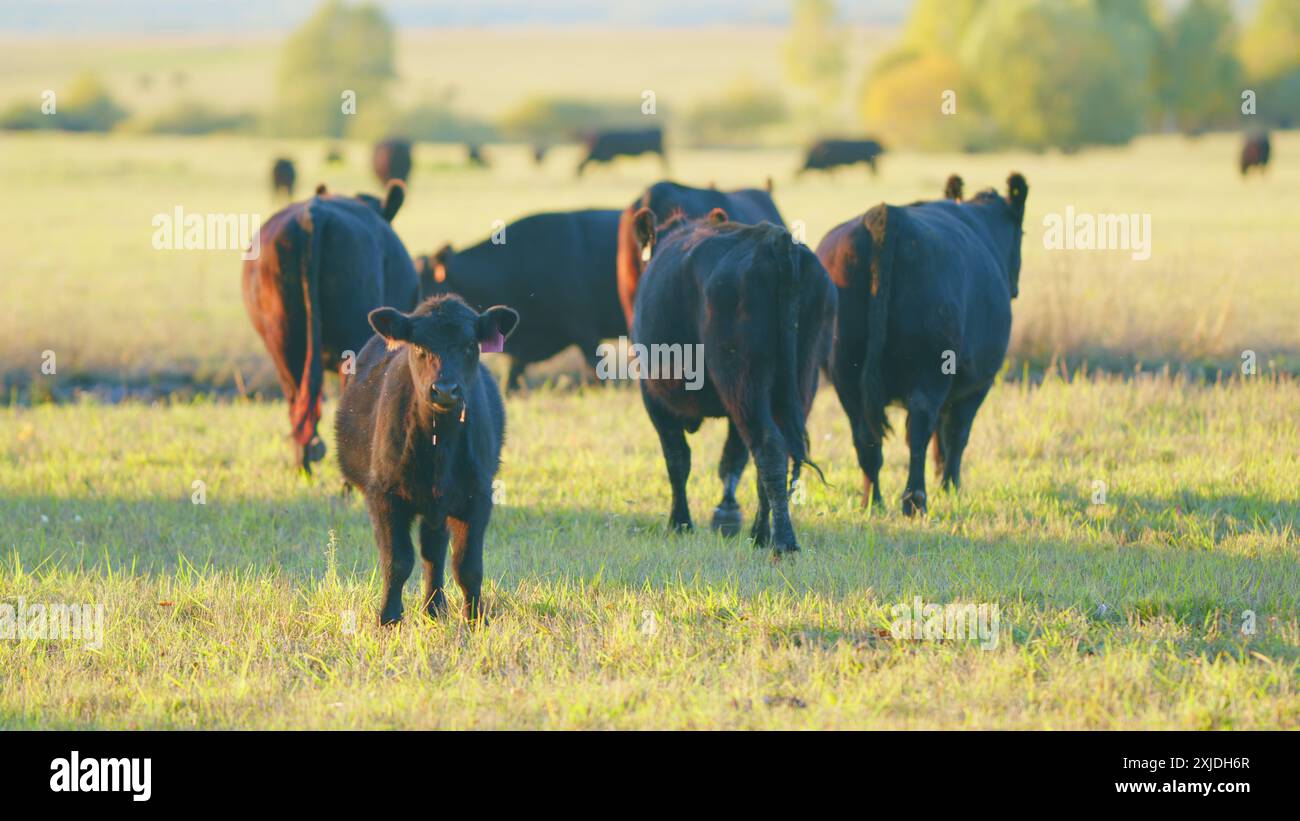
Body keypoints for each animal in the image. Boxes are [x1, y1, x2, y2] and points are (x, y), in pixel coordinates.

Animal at [336, 295, 519, 625]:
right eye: (419, 347)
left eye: (470, 345)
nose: (445, 390)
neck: (439, 444)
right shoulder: (383, 495)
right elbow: (397, 561)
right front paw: (388, 618)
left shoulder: (478, 497)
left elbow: (467, 566)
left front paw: (475, 619)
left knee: (434, 553)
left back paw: (435, 608)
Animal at [630, 208, 837, 555]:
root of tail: (773, 239)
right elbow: (732, 459)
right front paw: (724, 516)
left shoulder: (654, 399)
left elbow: (678, 459)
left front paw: (680, 523)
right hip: (798, 380)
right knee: (773, 452)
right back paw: (761, 533)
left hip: (742, 382)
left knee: (768, 446)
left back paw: (782, 541)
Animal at [816, 173, 1028, 516]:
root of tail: (887, 216)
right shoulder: (976, 385)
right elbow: (955, 436)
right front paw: (950, 487)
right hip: (929, 370)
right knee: (919, 430)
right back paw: (915, 501)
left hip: (844, 373)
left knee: (865, 438)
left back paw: (871, 502)